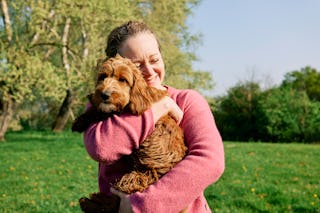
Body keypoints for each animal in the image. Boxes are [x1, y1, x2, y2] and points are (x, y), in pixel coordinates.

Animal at [72, 55, 188, 213]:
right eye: (103, 77)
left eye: (123, 80)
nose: (104, 95)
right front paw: (83, 116)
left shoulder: (126, 109)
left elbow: (103, 112)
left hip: (139, 178)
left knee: (117, 200)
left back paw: (92, 202)